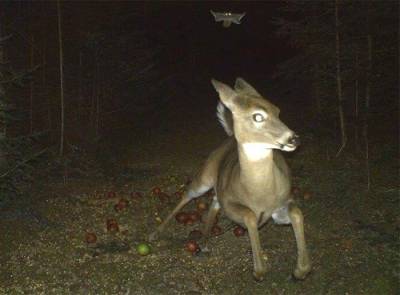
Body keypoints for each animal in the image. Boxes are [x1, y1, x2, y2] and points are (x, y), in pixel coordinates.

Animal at [148, 77, 310, 280]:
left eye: (277, 110)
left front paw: (300, 270)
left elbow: (297, 213)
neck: (259, 194)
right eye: (257, 116)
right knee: (188, 195)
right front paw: (259, 270)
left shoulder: (283, 202)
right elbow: (249, 216)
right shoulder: (231, 204)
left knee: (213, 201)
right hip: (205, 176)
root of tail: (230, 137)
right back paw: (155, 234)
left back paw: (205, 241)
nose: (294, 139)